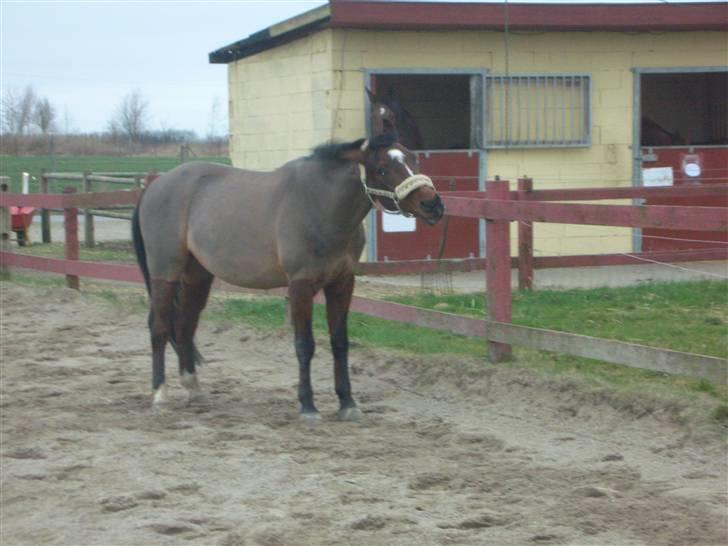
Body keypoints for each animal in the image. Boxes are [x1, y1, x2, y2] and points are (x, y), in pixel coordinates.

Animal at [134, 134, 446, 422]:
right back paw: (160, 395)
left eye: (413, 159)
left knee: (184, 326)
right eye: (381, 169)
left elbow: (340, 342)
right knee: (159, 327)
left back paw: (194, 390)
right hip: (165, 273)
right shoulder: (300, 286)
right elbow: (304, 345)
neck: (320, 204)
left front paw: (347, 403)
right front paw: (308, 406)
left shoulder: (342, 283)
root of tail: (155, 186)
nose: (433, 205)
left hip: (197, 277)